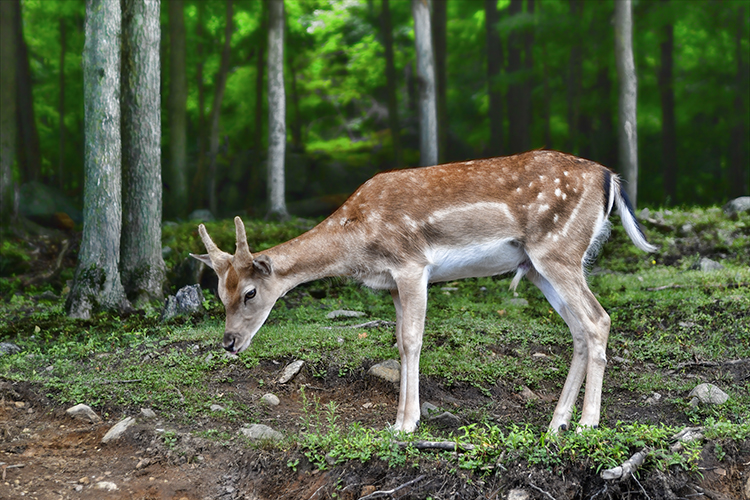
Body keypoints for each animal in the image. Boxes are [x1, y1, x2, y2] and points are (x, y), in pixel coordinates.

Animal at [194, 149, 656, 434]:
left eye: (250, 293)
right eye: (218, 293)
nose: (229, 342)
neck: (357, 238)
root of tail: (610, 178)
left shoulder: (412, 266)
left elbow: (414, 340)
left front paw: (407, 424)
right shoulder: (392, 285)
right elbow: (399, 343)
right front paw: (398, 419)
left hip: (559, 250)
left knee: (598, 319)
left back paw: (587, 422)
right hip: (538, 266)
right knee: (578, 329)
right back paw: (556, 422)